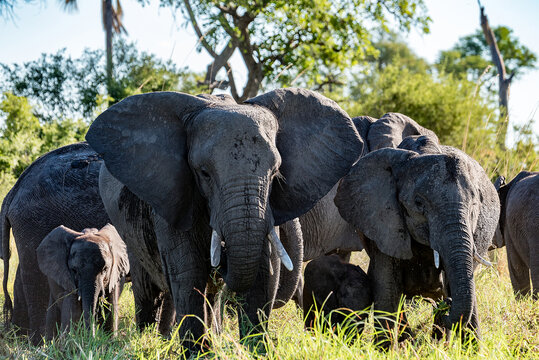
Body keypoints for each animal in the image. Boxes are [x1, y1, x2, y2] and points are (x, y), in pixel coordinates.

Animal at [85, 87, 362, 348]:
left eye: (275, 173)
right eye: (204, 173)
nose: (224, 254)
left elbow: (263, 274)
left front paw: (256, 350)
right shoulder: (174, 194)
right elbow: (188, 273)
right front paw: (198, 353)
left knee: (210, 292)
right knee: (149, 290)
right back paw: (149, 338)